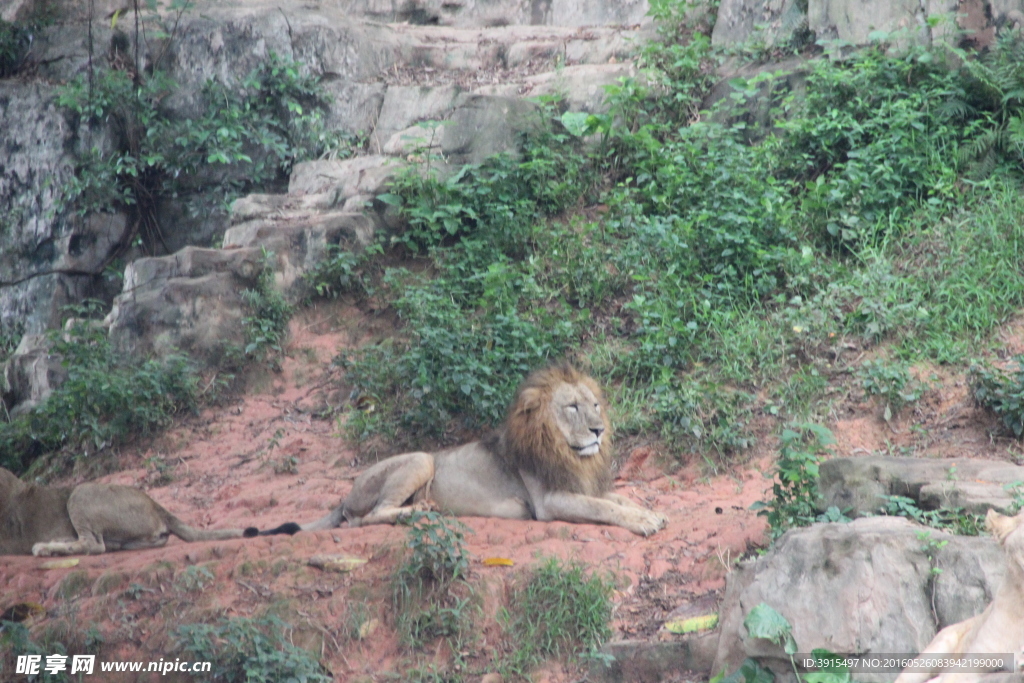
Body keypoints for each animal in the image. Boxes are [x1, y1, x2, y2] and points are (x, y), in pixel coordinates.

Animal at [264, 366, 667, 536]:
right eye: (572, 407)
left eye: (595, 405)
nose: (599, 430)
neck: (569, 452)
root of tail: (346, 495)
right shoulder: (549, 501)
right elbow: (602, 507)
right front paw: (644, 522)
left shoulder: (581, 485)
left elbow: (617, 499)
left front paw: (648, 512)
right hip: (421, 459)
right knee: (368, 517)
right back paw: (419, 512)